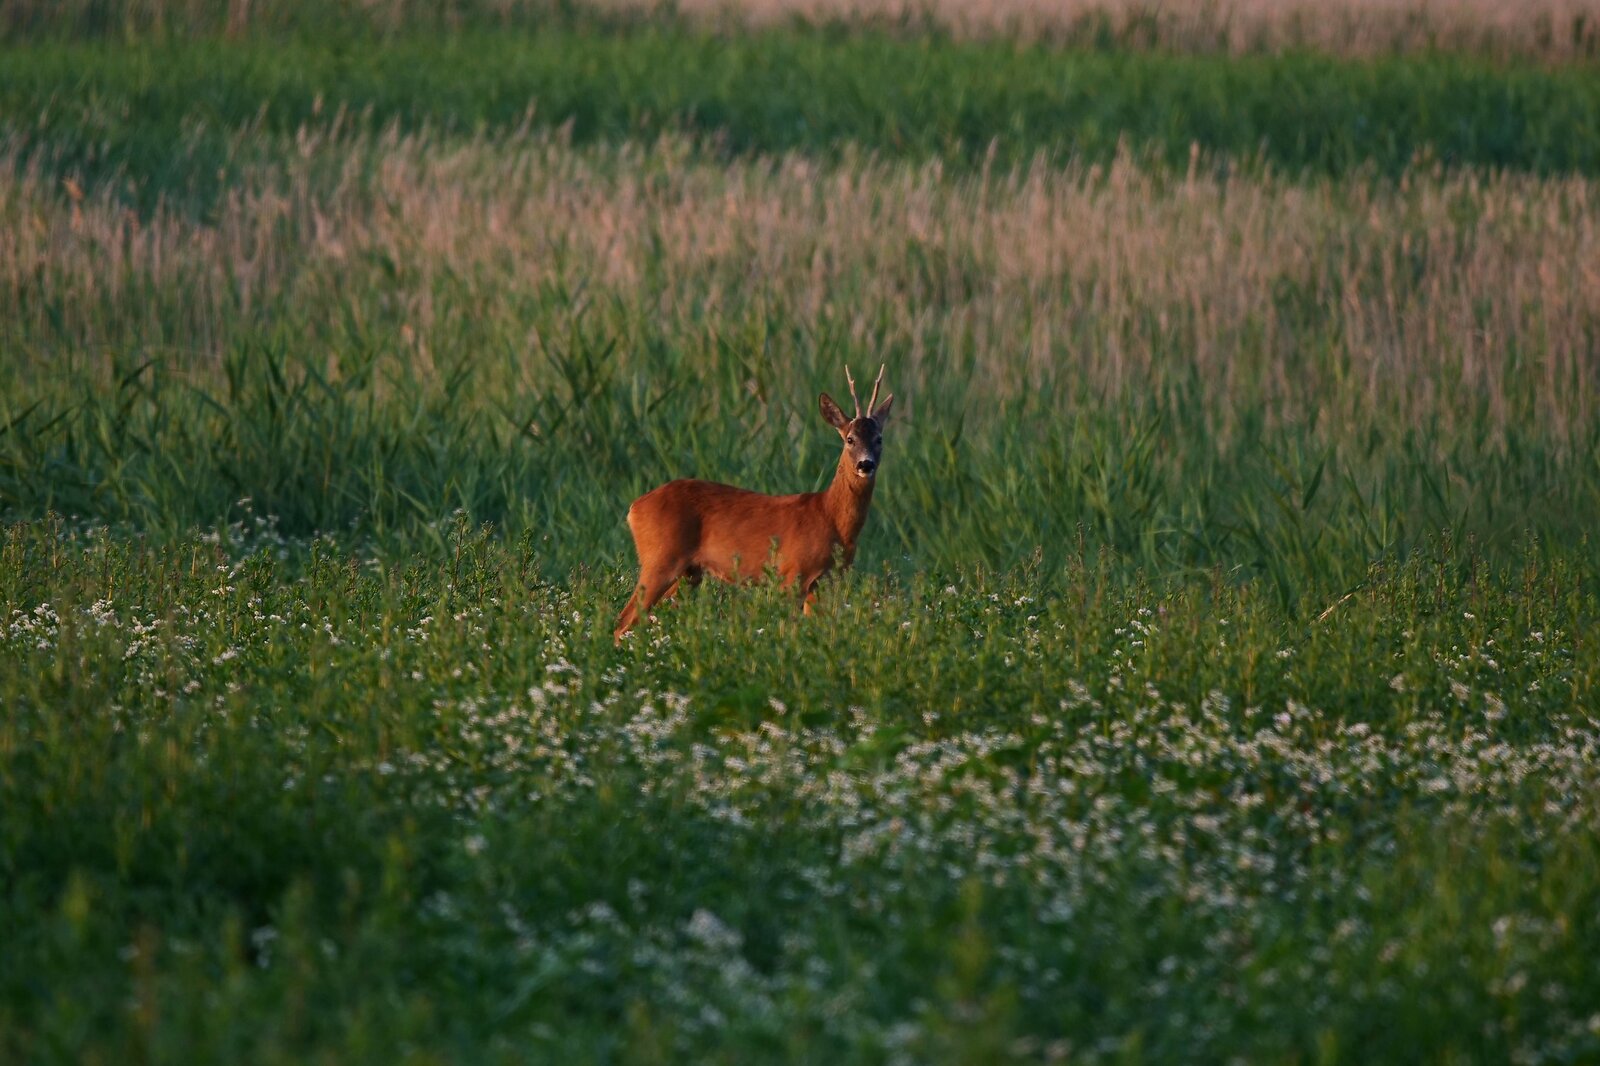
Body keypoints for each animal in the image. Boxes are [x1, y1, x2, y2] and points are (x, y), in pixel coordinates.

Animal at [613, 366, 894, 643]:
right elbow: (787, 629)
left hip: (688, 573)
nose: (865, 464)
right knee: (624, 620)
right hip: (660, 558)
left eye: (879, 439)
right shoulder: (791, 572)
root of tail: (635, 508)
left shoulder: (825, 581)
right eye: (850, 439)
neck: (830, 517)